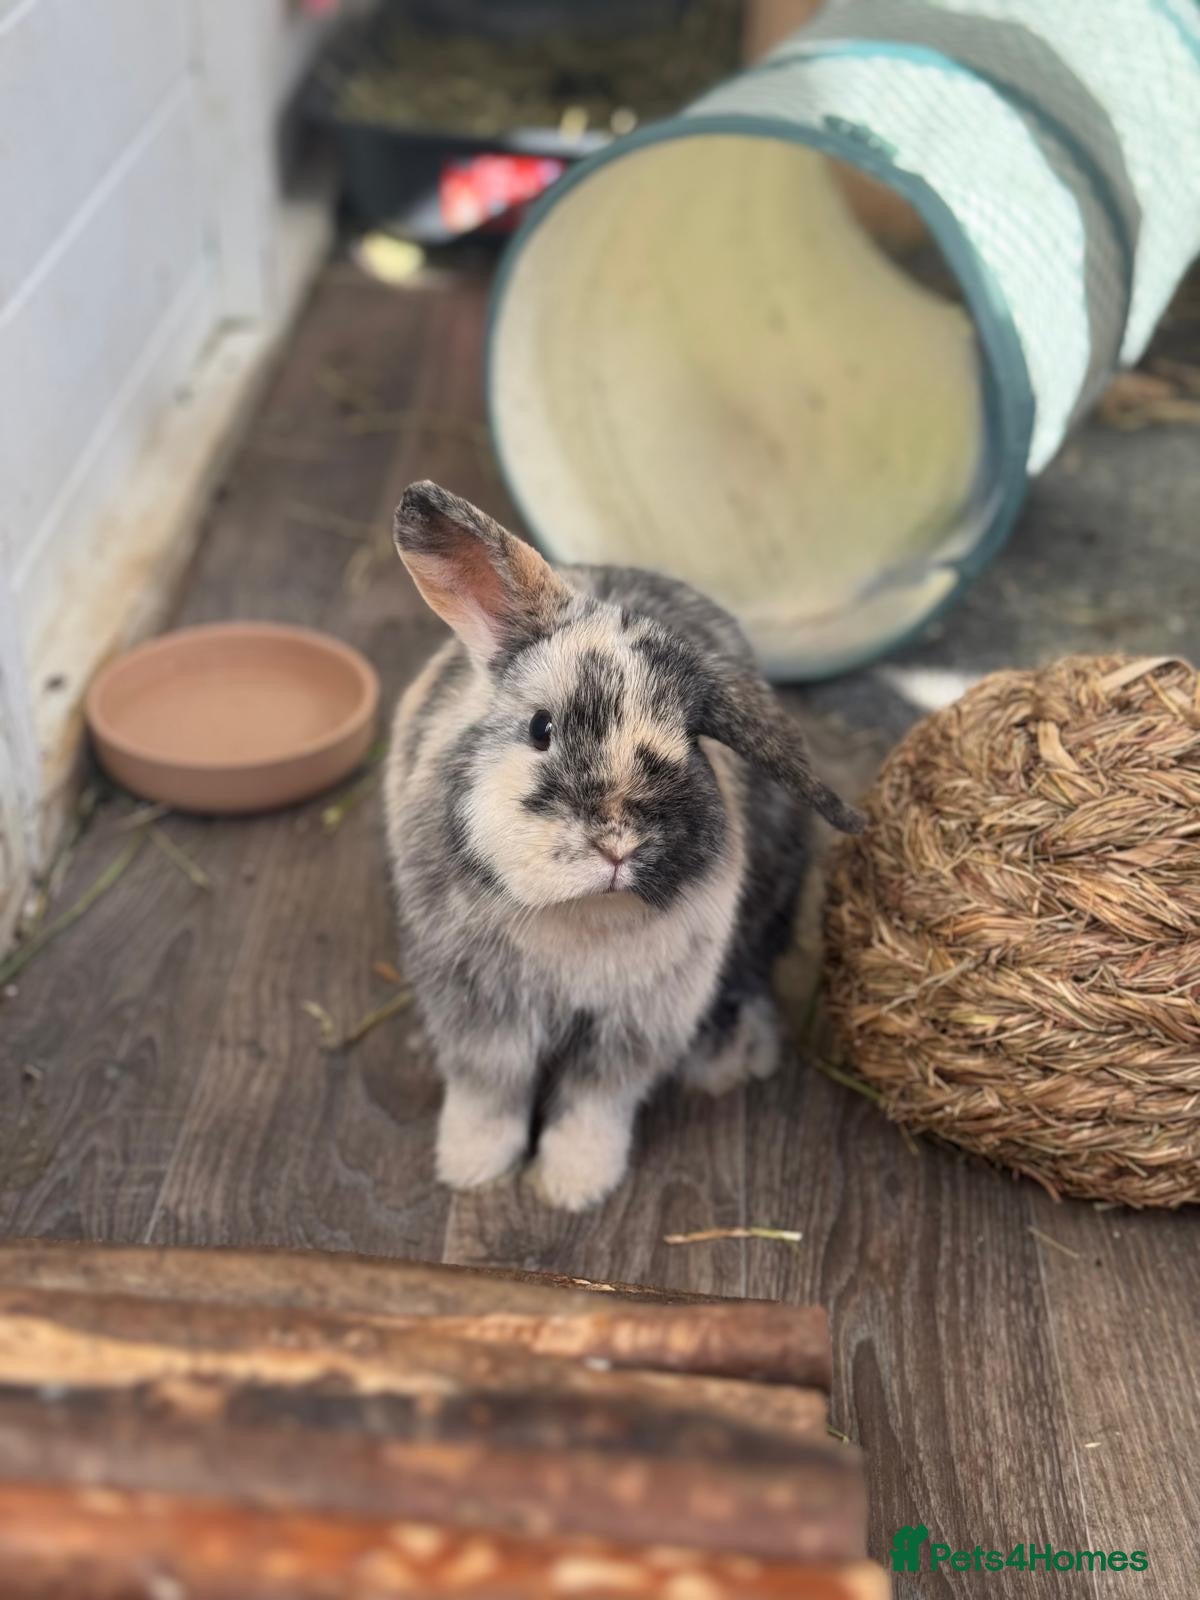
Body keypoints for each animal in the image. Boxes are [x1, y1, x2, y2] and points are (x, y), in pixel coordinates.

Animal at [384, 481, 864, 1211]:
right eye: (541, 727)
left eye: (693, 742)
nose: (618, 845)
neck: (578, 915)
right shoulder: (479, 1013)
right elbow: (489, 1093)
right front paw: (472, 1169)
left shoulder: (633, 1026)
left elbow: (593, 1105)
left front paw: (572, 1186)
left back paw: (728, 1058)